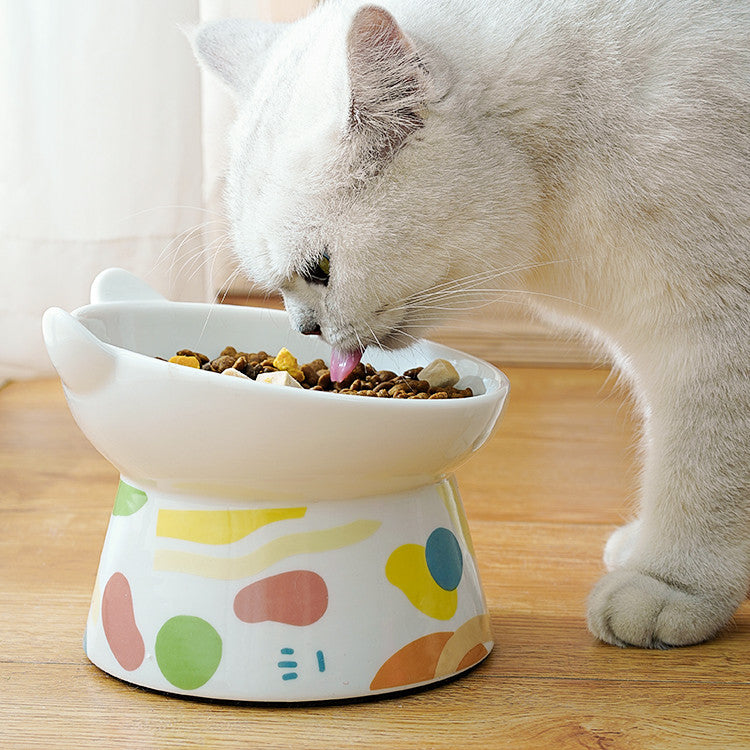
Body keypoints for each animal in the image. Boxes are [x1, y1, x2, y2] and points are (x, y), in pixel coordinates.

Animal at [191, 0, 748, 648]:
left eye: (320, 270)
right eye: (278, 286)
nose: (305, 329)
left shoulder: (712, 337)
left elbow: (699, 472)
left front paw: (669, 583)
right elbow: (668, 450)